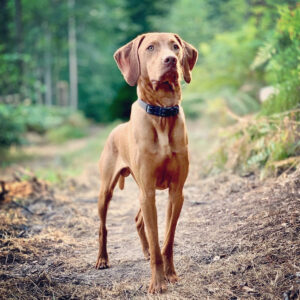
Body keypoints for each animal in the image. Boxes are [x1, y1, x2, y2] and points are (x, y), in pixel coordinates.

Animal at [95, 32, 197, 292]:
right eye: (150, 48)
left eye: (175, 47)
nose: (171, 60)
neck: (162, 113)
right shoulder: (149, 190)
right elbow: (155, 239)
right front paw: (158, 283)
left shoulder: (176, 191)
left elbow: (167, 240)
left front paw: (171, 275)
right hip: (107, 191)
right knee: (103, 227)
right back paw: (102, 259)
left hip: (143, 191)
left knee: (138, 220)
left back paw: (145, 252)